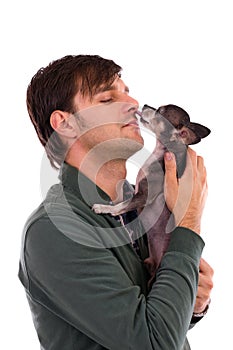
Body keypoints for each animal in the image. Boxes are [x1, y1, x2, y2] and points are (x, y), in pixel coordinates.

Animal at [93, 104, 211, 284]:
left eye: (161, 112)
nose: (146, 105)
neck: (161, 152)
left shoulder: (143, 196)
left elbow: (121, 206)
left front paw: (104, 208)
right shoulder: (137, 193)